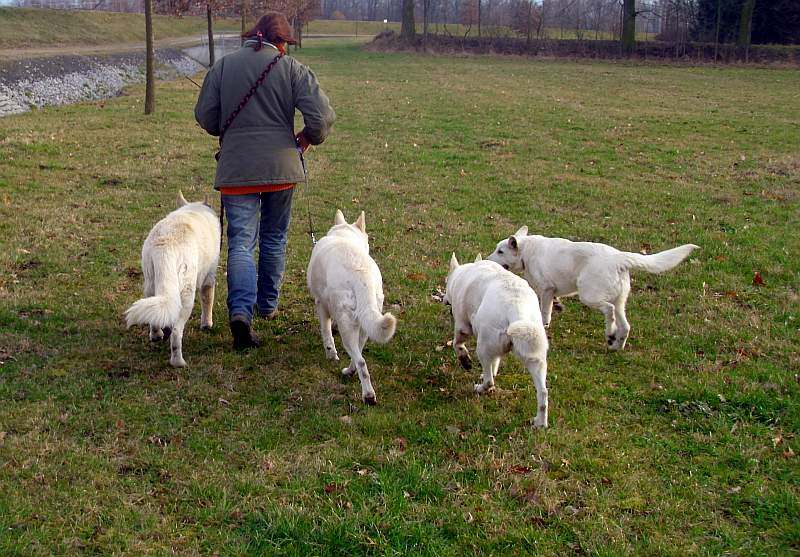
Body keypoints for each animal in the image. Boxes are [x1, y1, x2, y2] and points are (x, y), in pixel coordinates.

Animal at [125, 193, 220, 368]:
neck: (194, 209)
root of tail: (166, 246)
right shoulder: (209, 278)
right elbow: (208, 301)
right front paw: (207, 324)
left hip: (150, 284)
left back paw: (156, 335)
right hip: (186, 296)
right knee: (176, 333)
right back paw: (178, 362)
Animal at [306, 208, 396, 404]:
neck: (343, 236)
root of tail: (362, 277)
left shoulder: (321, 304)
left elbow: (326, 334)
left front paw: (331, 354)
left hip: (347, 326)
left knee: (361, 361)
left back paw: (368, 395)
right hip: (365, 324)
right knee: (359, 355)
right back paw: (350, 371)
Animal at [444, 254, 552, 428]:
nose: (443, 299)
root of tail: (517, 309)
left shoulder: (462, 327)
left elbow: (457, 345)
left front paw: (465, 361)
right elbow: (495, 364)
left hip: (482, 347)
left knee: (489, 382)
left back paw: (480, 388)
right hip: (536, 357)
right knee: (543, 392)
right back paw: (539, 423)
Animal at [484, 227, 696, 350]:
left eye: (500, 251)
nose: (486, 259)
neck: (526, 251)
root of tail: (620, 258)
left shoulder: (546, 290)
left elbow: (545, 312)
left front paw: (545, 324)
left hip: (588, 296)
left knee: (609, 311)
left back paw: (610, 333)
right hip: (620, 302)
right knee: (625, 325)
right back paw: (615, 344)